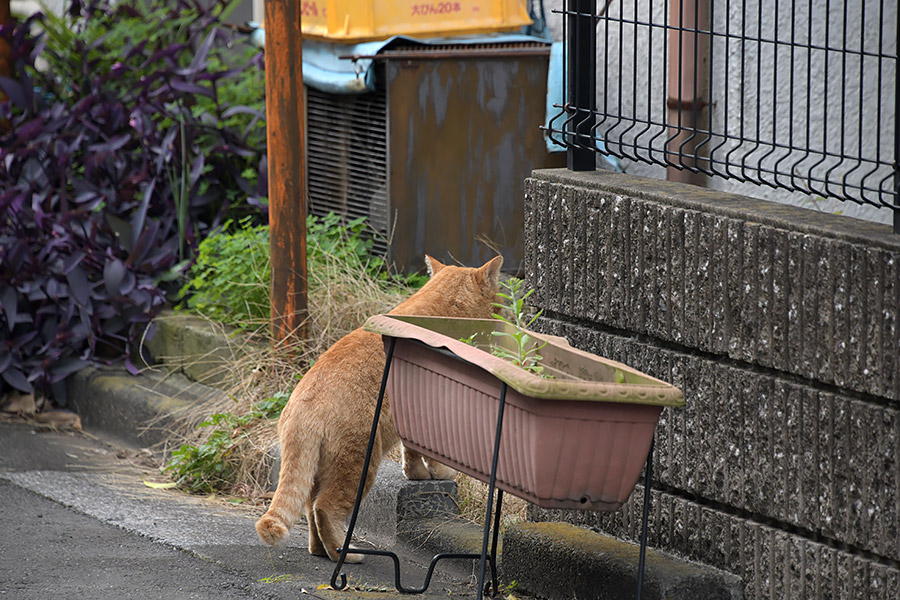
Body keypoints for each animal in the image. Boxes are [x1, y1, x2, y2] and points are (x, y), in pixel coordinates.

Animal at [256, 254, 502, 564]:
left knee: (310, 507)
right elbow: (433, 453)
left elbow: (412, 452)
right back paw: (345, 554)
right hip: (359, 465)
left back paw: (320, 550)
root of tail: (299, 408)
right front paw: (439, 472)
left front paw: (416, 474)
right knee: (324, 508)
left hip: (321, 469)